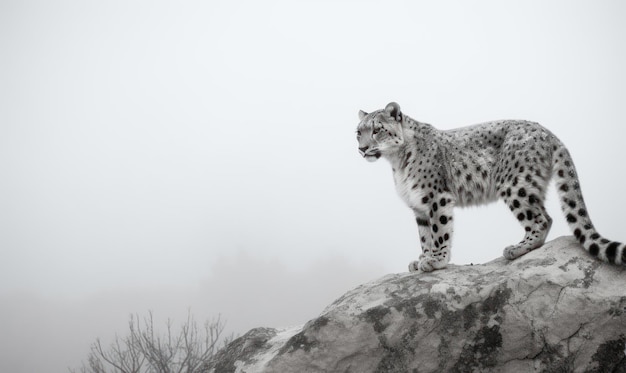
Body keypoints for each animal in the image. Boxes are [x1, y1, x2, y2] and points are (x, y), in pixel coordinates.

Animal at [356, 101, 624, 270]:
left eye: (377, 130)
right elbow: (424, 236)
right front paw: (422, 258)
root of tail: (549, 132)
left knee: (542, 219)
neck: (396, 163)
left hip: (515, 184)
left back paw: (517, 248)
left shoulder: (436, 197)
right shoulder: (419, 207)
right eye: (358, 132)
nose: (362, 148)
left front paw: (436, 261)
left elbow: (439, 231)